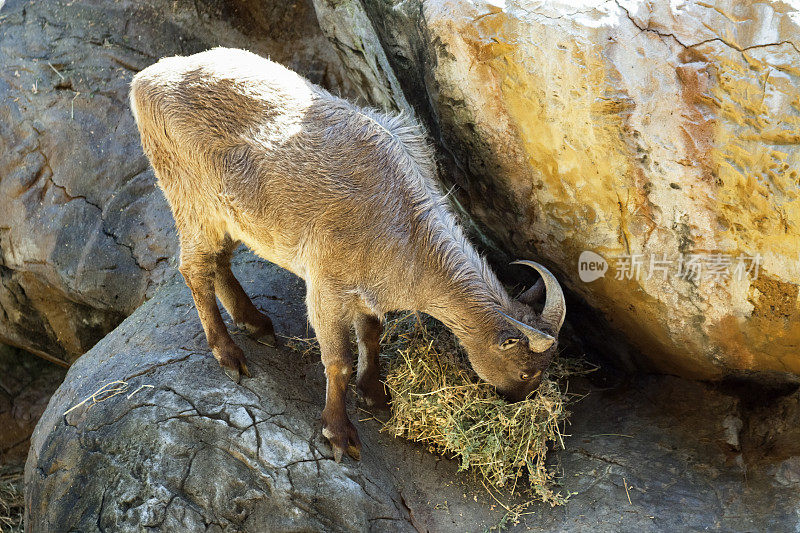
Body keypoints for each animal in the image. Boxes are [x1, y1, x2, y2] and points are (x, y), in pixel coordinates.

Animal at [131, 47, 564, 460]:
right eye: (525, 372)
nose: (517, 399)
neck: (404, 226)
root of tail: (145, 81)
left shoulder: (366, 291)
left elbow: (371, 336)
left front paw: (374, 393)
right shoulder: (327, 287)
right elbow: (338, 362)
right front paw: (340, 435)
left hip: (230, 217)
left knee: (218, 262)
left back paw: (256, 324)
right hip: (192, 201)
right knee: (194, 268)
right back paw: (229, 355)